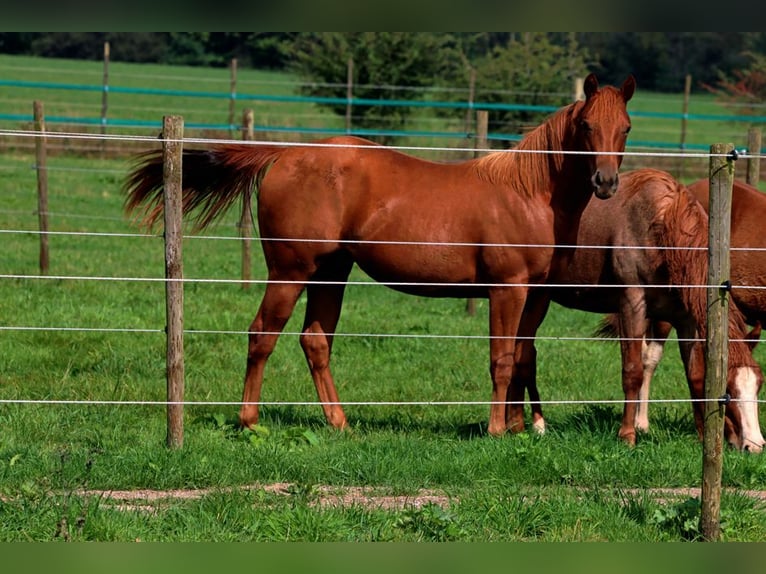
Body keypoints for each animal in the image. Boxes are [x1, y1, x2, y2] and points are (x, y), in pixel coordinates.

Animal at [124, 74, 636, 438]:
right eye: (586, 126)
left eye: (625, 129)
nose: (606, 183)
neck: (528, 193)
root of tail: (286, 154)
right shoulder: (506, 289)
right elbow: (502, 358)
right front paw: (496, 430)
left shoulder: (536, 295)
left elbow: (524, 356)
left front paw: (518, 428)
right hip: (290, 272)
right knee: (262, 335)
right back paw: (249, 421)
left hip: (330, 273)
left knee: (315, 341)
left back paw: (340, 423)